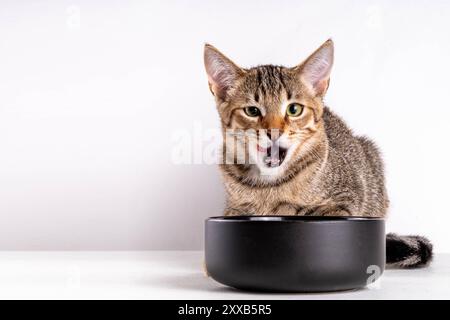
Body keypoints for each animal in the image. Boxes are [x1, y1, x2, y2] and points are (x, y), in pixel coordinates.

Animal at [204, 38, 432, 268]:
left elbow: (310, 211)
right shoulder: (233, 209)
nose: (274, 132)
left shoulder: (347, 198)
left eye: (294, 109)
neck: (267, 187)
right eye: (252, 111)